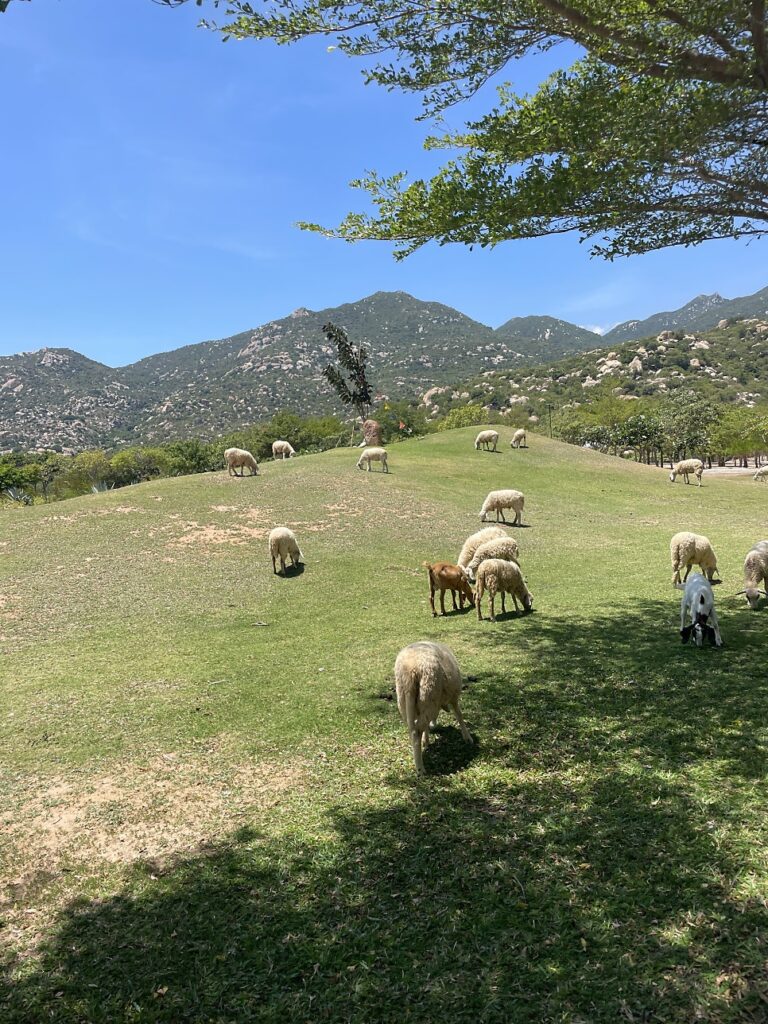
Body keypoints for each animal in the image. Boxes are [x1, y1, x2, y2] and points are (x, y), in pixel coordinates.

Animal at [394, 641, 472, 775]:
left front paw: (426, 739)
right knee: (416, 731)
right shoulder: (454, 696)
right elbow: (459, 715)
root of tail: (411, 669)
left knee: (414, 729)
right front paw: (467, 737)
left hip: (406, 700)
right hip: (429, 694)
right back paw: (420, 769)